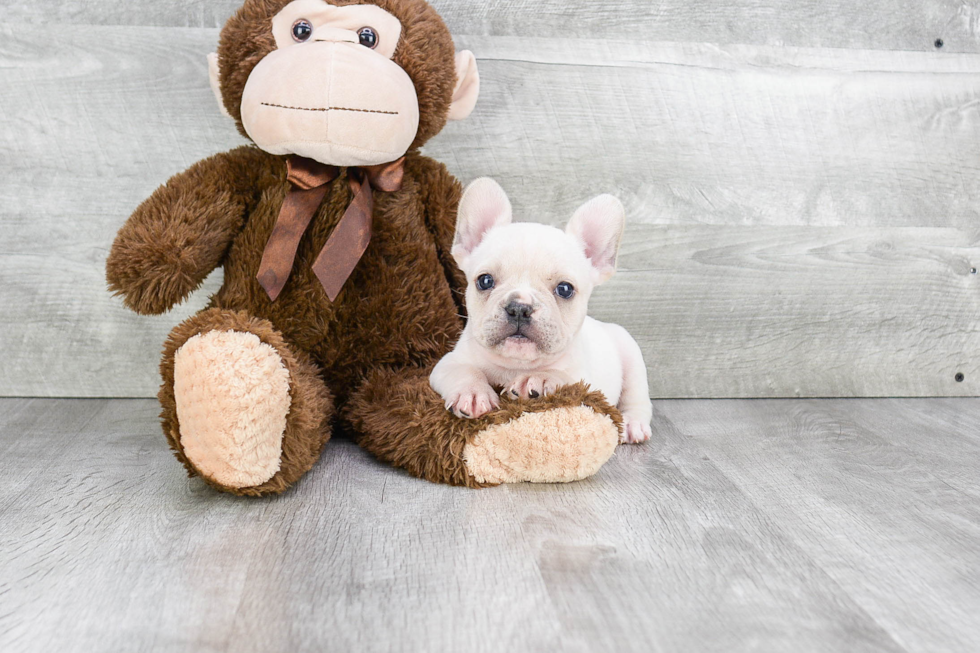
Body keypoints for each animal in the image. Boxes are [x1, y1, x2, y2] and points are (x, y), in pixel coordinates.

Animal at [428, 178, 652, 444]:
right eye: (484, 281)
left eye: (565, 289)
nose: (519, 308)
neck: (517, 365)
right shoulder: (448, 363)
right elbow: (463, 370)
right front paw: (472, 393)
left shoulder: (586, 381)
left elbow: (564, 375)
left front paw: (539, 378)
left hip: (632, 356)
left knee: (637, 396)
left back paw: (633, 423)